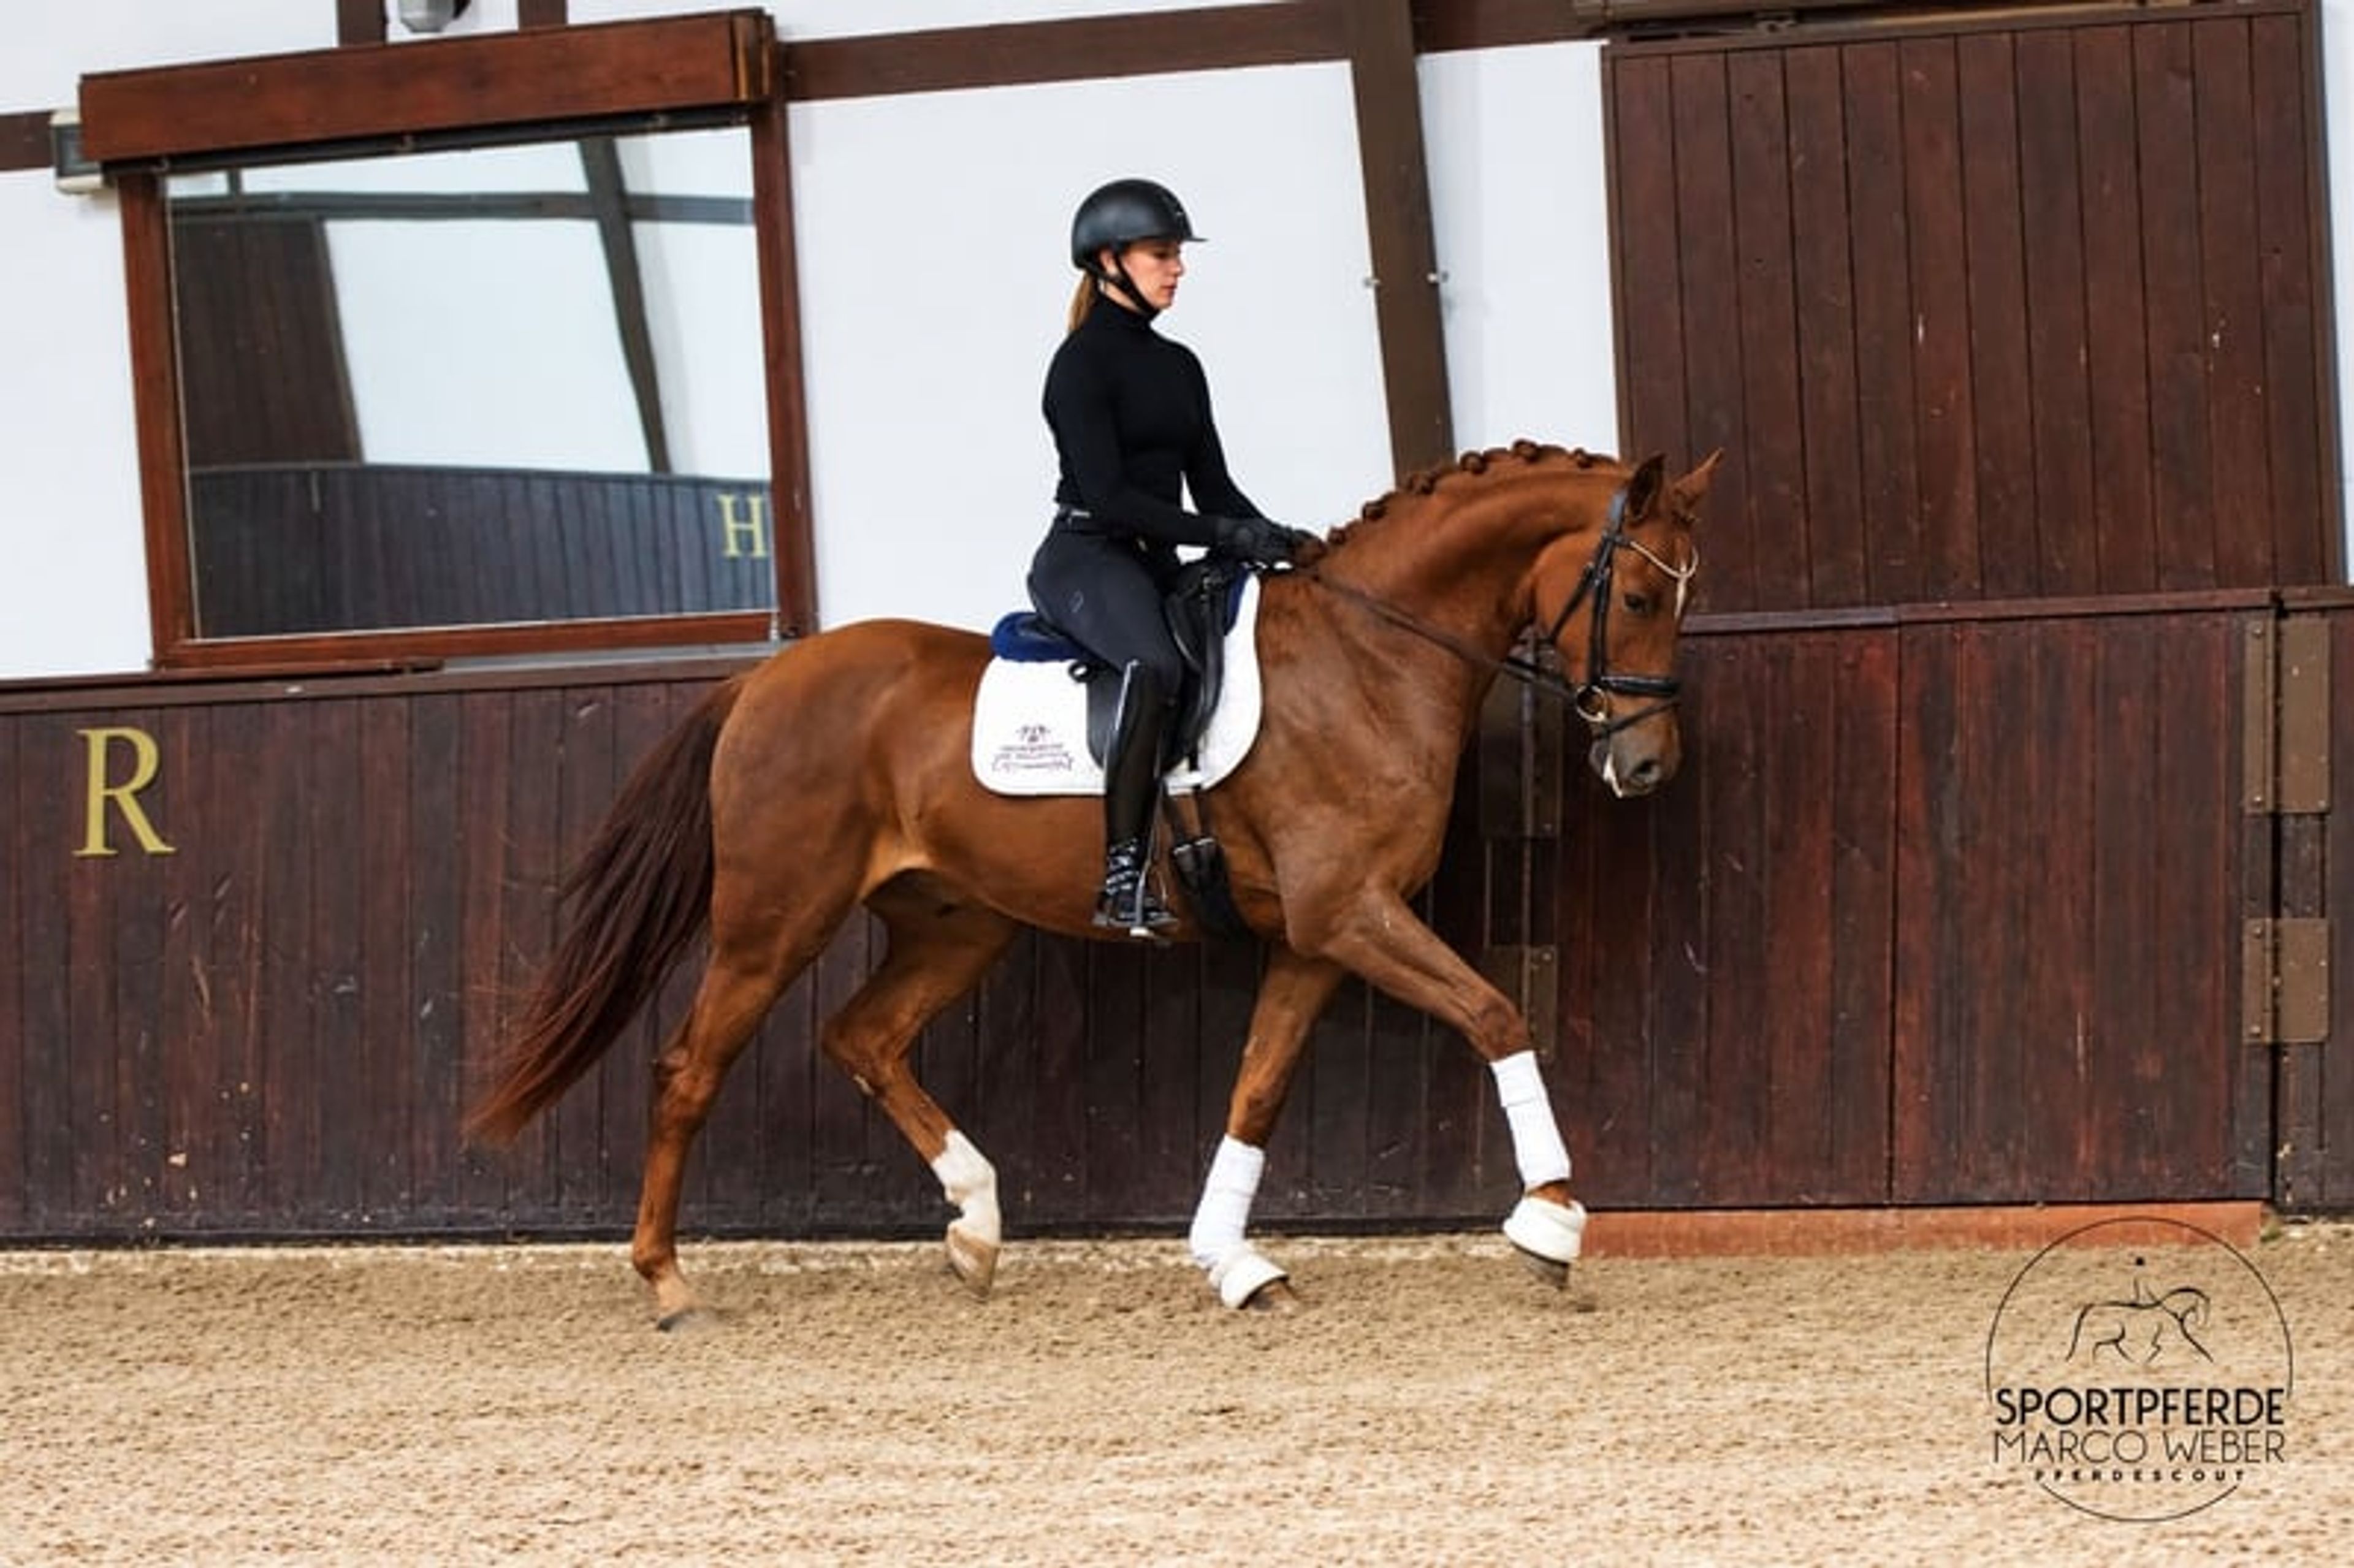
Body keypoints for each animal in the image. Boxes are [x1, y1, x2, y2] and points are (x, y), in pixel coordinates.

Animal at [466, 439, 1719, 1326]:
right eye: (1640, 598)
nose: (1649, 765)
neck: (1368, 658)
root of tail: (765, 676)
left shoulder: (1314, 938)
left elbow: (1256, 1089)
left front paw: (1233, 1263)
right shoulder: (1351, 915)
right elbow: (1499, 1013)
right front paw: (1551, 1224)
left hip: (957, 922)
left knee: (864, 1037)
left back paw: (976, 1225)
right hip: (776, 917)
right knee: (690, 1069)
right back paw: (670, 1282)